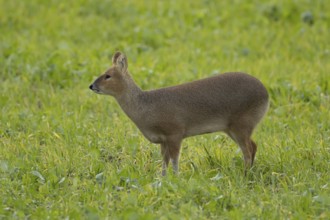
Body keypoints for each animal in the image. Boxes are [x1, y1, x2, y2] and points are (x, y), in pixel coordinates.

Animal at [89, 51, 270, 175]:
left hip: (242, 124)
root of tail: (266, 94)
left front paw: (176, 178)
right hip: (232, 128)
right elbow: (164, 161)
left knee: (248, 150)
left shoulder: (175, 132)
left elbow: (175, 160)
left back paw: (245, 174)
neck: (145, 107)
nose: (91, 86)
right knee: (253, 146)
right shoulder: (163, 139)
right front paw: (161, 179)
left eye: (107, 75)